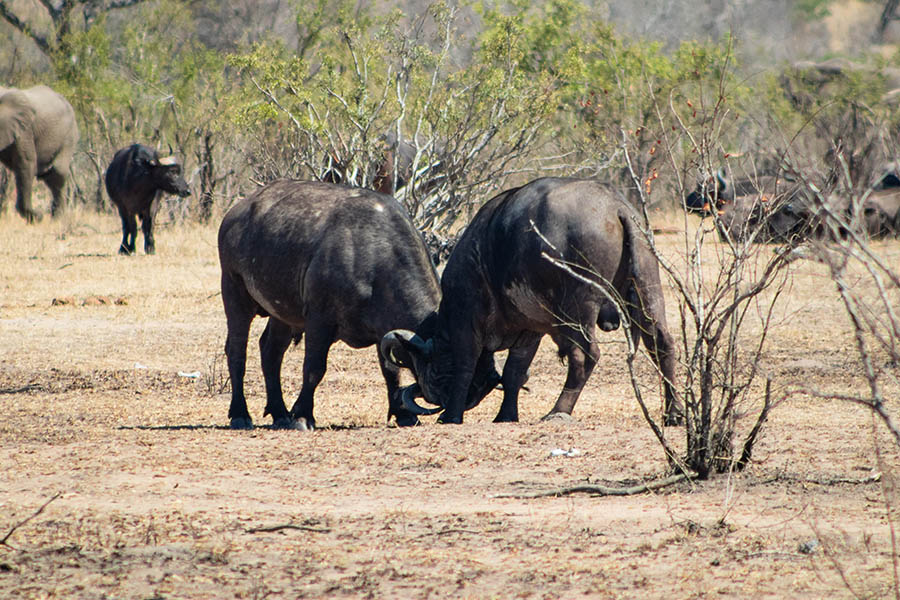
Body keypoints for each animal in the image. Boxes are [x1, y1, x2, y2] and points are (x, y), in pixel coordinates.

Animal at [218, 179, 497, 430]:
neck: (375, 259)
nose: (456, 403)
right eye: (444, 377)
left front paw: (403, 414)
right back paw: (240, 414)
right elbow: (314, 368)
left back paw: (279, 412)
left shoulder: (383, 328)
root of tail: (236, 211)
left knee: (271, 352)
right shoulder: (319, 320)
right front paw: (303, 416)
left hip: (283, 314)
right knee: (237, 351)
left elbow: (390, 372)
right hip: (235, 292)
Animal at [382, 177, 683, 426]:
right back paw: (674, 413)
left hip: (580, 306)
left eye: (427, 368)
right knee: (662, 342)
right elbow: (514, 372)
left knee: (585, 355)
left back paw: (558, 411)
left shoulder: (465, 321)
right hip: (647, 284)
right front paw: (505, 416)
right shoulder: (530, 331)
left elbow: (465, 366)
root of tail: (616, 207)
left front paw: (451, 415)